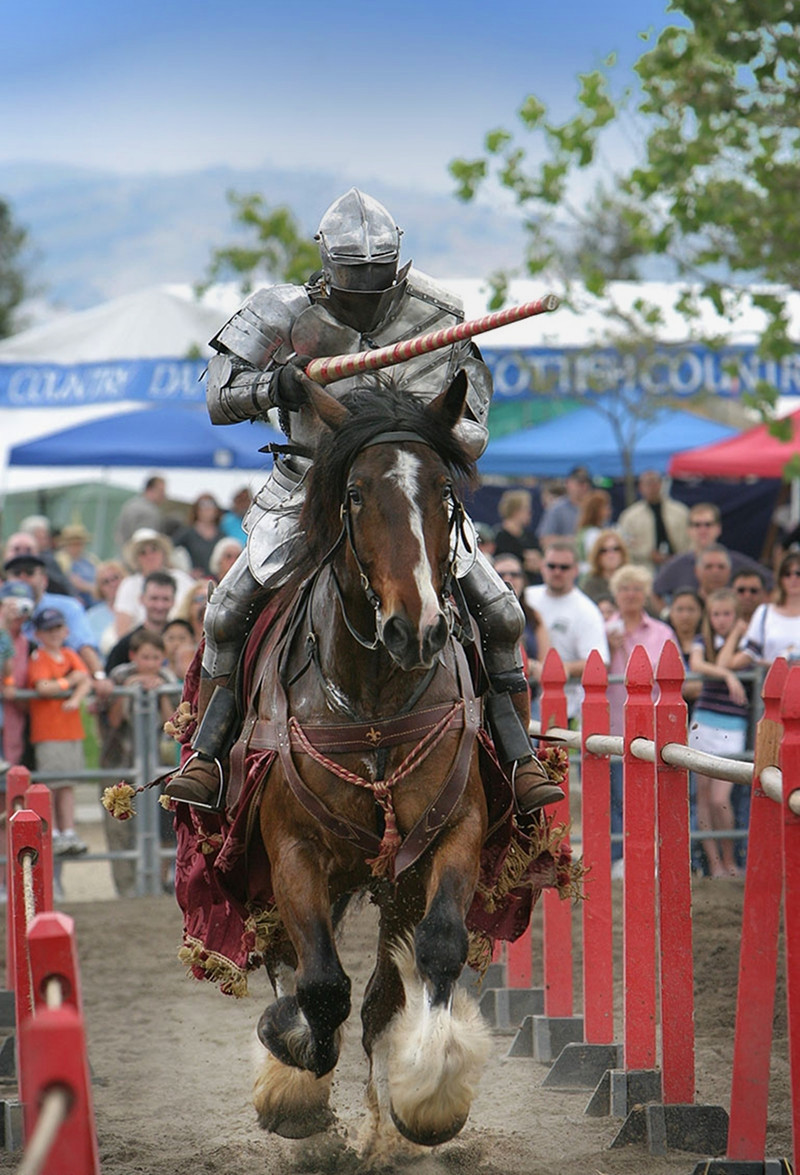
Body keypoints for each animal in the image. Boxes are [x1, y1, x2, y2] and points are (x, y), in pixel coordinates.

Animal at [247, 371, 486, 1151]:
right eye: (354, 494)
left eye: (444, 490)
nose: (417, 628)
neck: (374, 699)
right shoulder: (292, 848)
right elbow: (321, 984)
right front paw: (292, 1070)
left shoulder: (449, 834)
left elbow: (439, 947)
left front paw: (430, 1096)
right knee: (295, 963)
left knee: (382, 993)